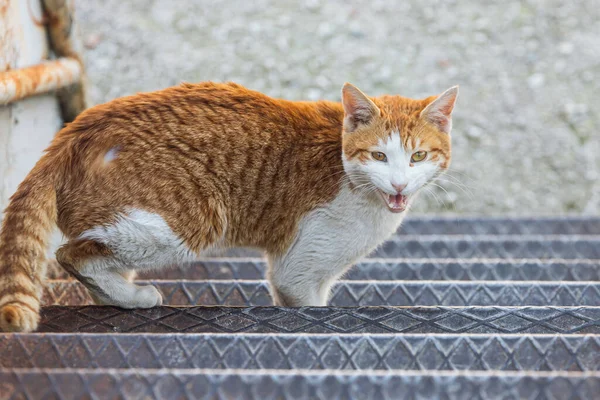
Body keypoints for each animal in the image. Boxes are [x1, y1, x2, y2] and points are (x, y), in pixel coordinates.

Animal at [0, 81, 458, 332]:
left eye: (417, 157)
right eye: (379, 156)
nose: (398, 183)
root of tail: (71, 134)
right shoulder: (301, 267)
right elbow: (306, 300)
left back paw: (118, 295)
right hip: (186, 222)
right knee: (72, 254)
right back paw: (133, 297)